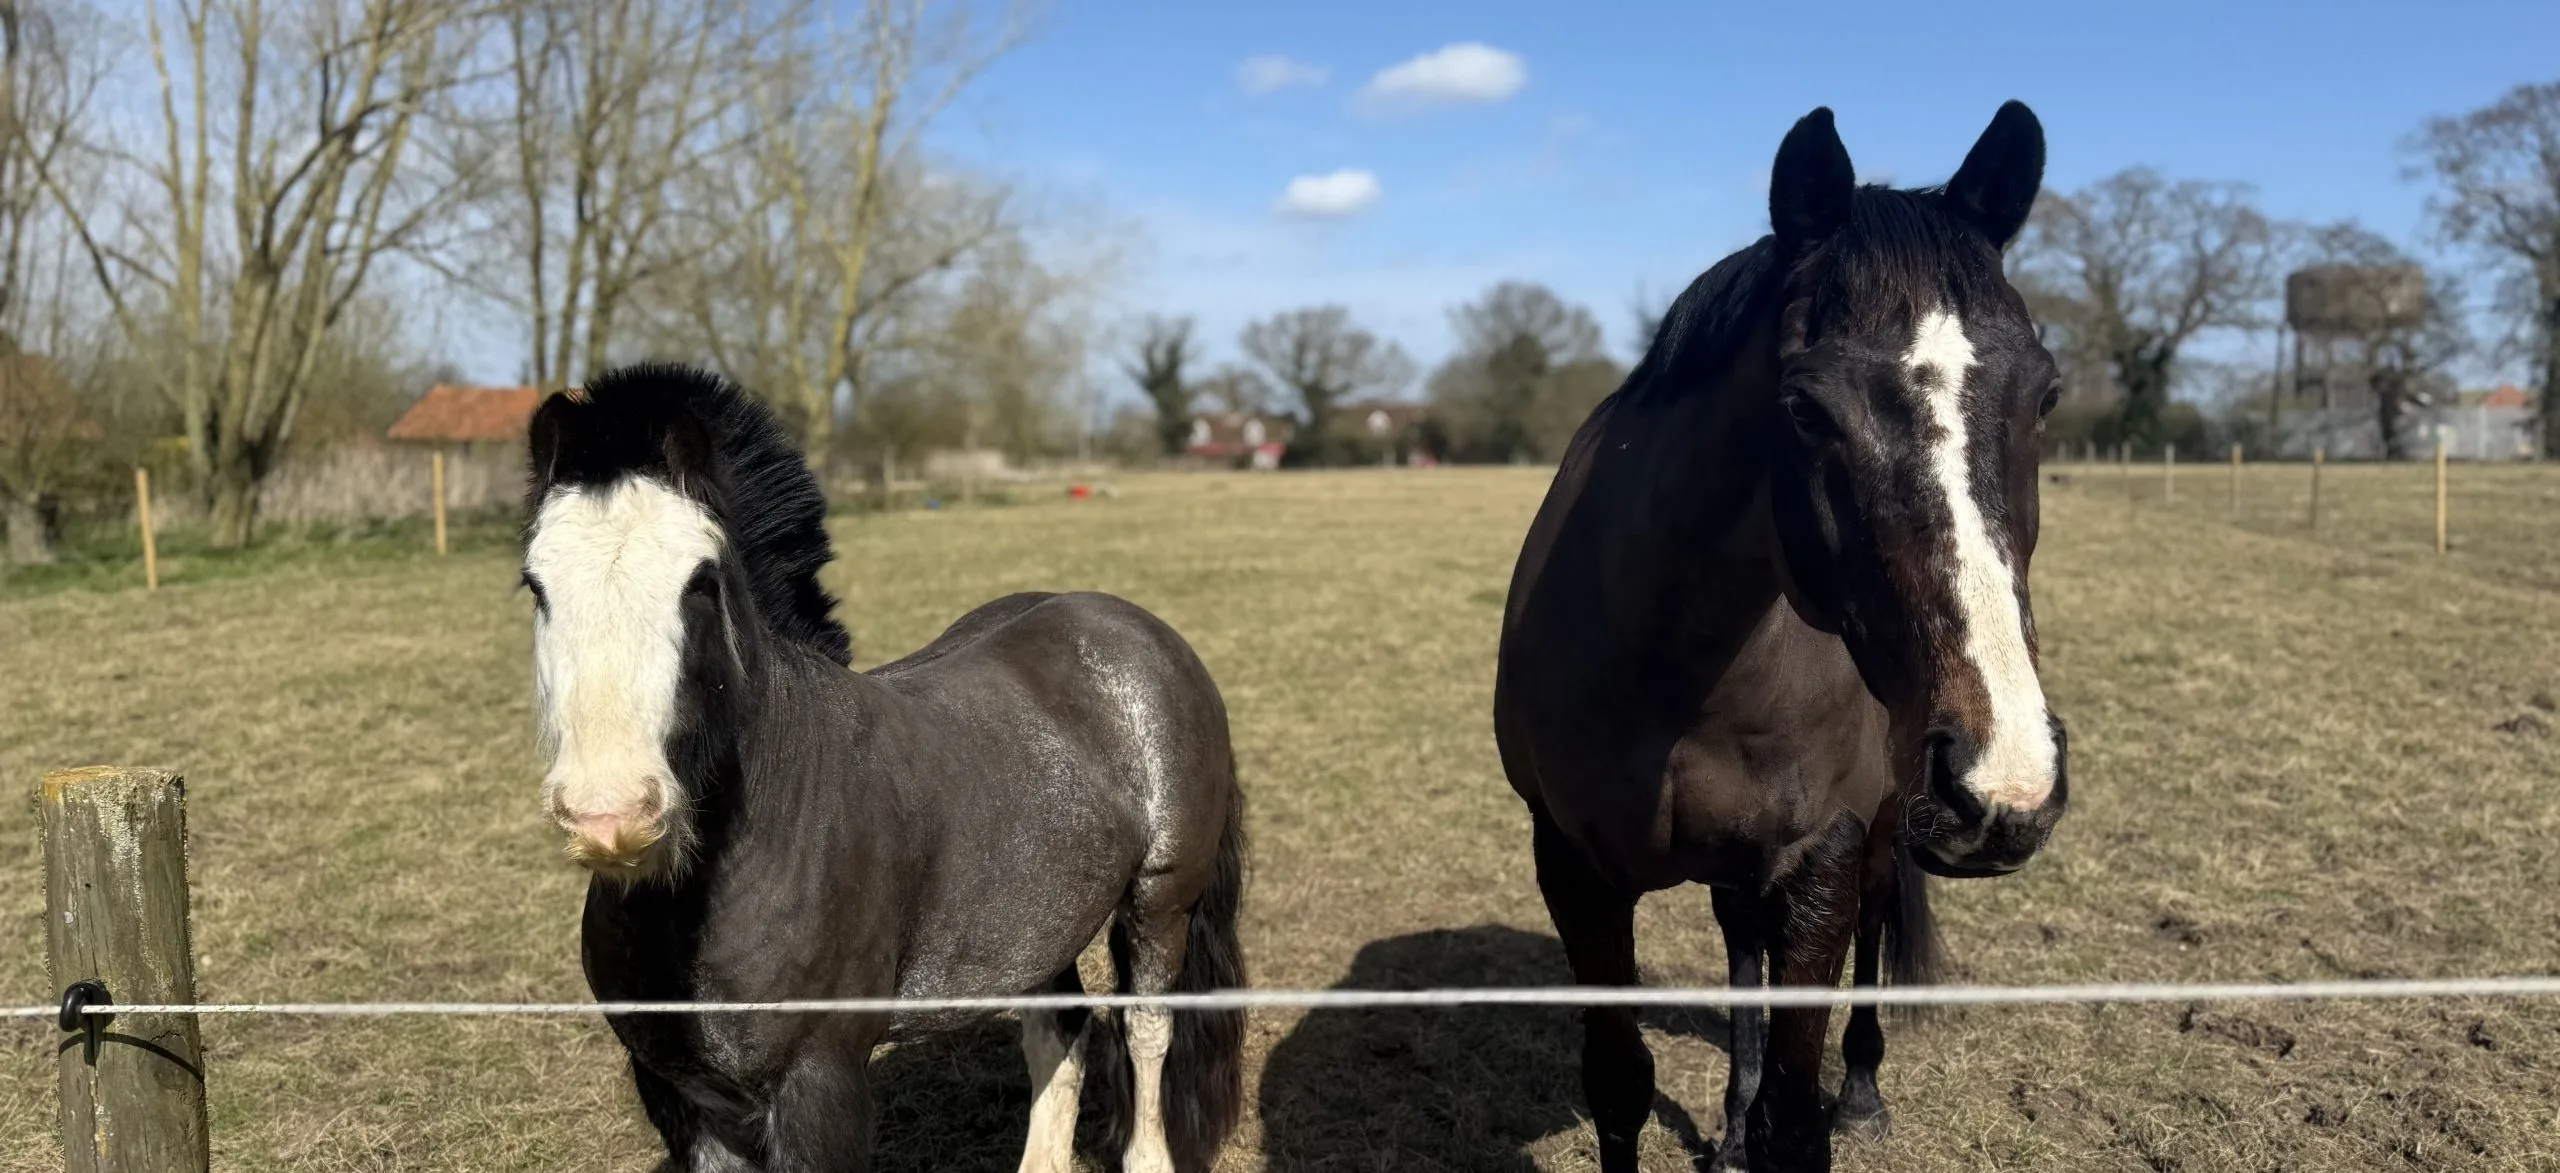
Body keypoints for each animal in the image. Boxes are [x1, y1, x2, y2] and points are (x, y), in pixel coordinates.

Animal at [519, 365, 1247, 1173]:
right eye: (536, 584)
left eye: (700, 582)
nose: (610, 815)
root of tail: (1135, 629)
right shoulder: (685, 1101)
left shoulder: (821, 1086)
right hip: (1037, 925)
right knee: (1059, 1031)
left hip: (1160, 902)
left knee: (1147, 1030)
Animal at [1493, 102, 2069, 1172]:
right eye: (1802, 406)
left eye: (2046, 394)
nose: (2003, 779)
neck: (1677, 666)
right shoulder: (1576, 870)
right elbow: (1621, 1085)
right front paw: (1726, 1114)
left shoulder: (1823, 860)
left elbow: (1795, 1119)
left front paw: (1814, 1105)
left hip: (1884, 831)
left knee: (1872, 932)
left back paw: (1863, 1090)